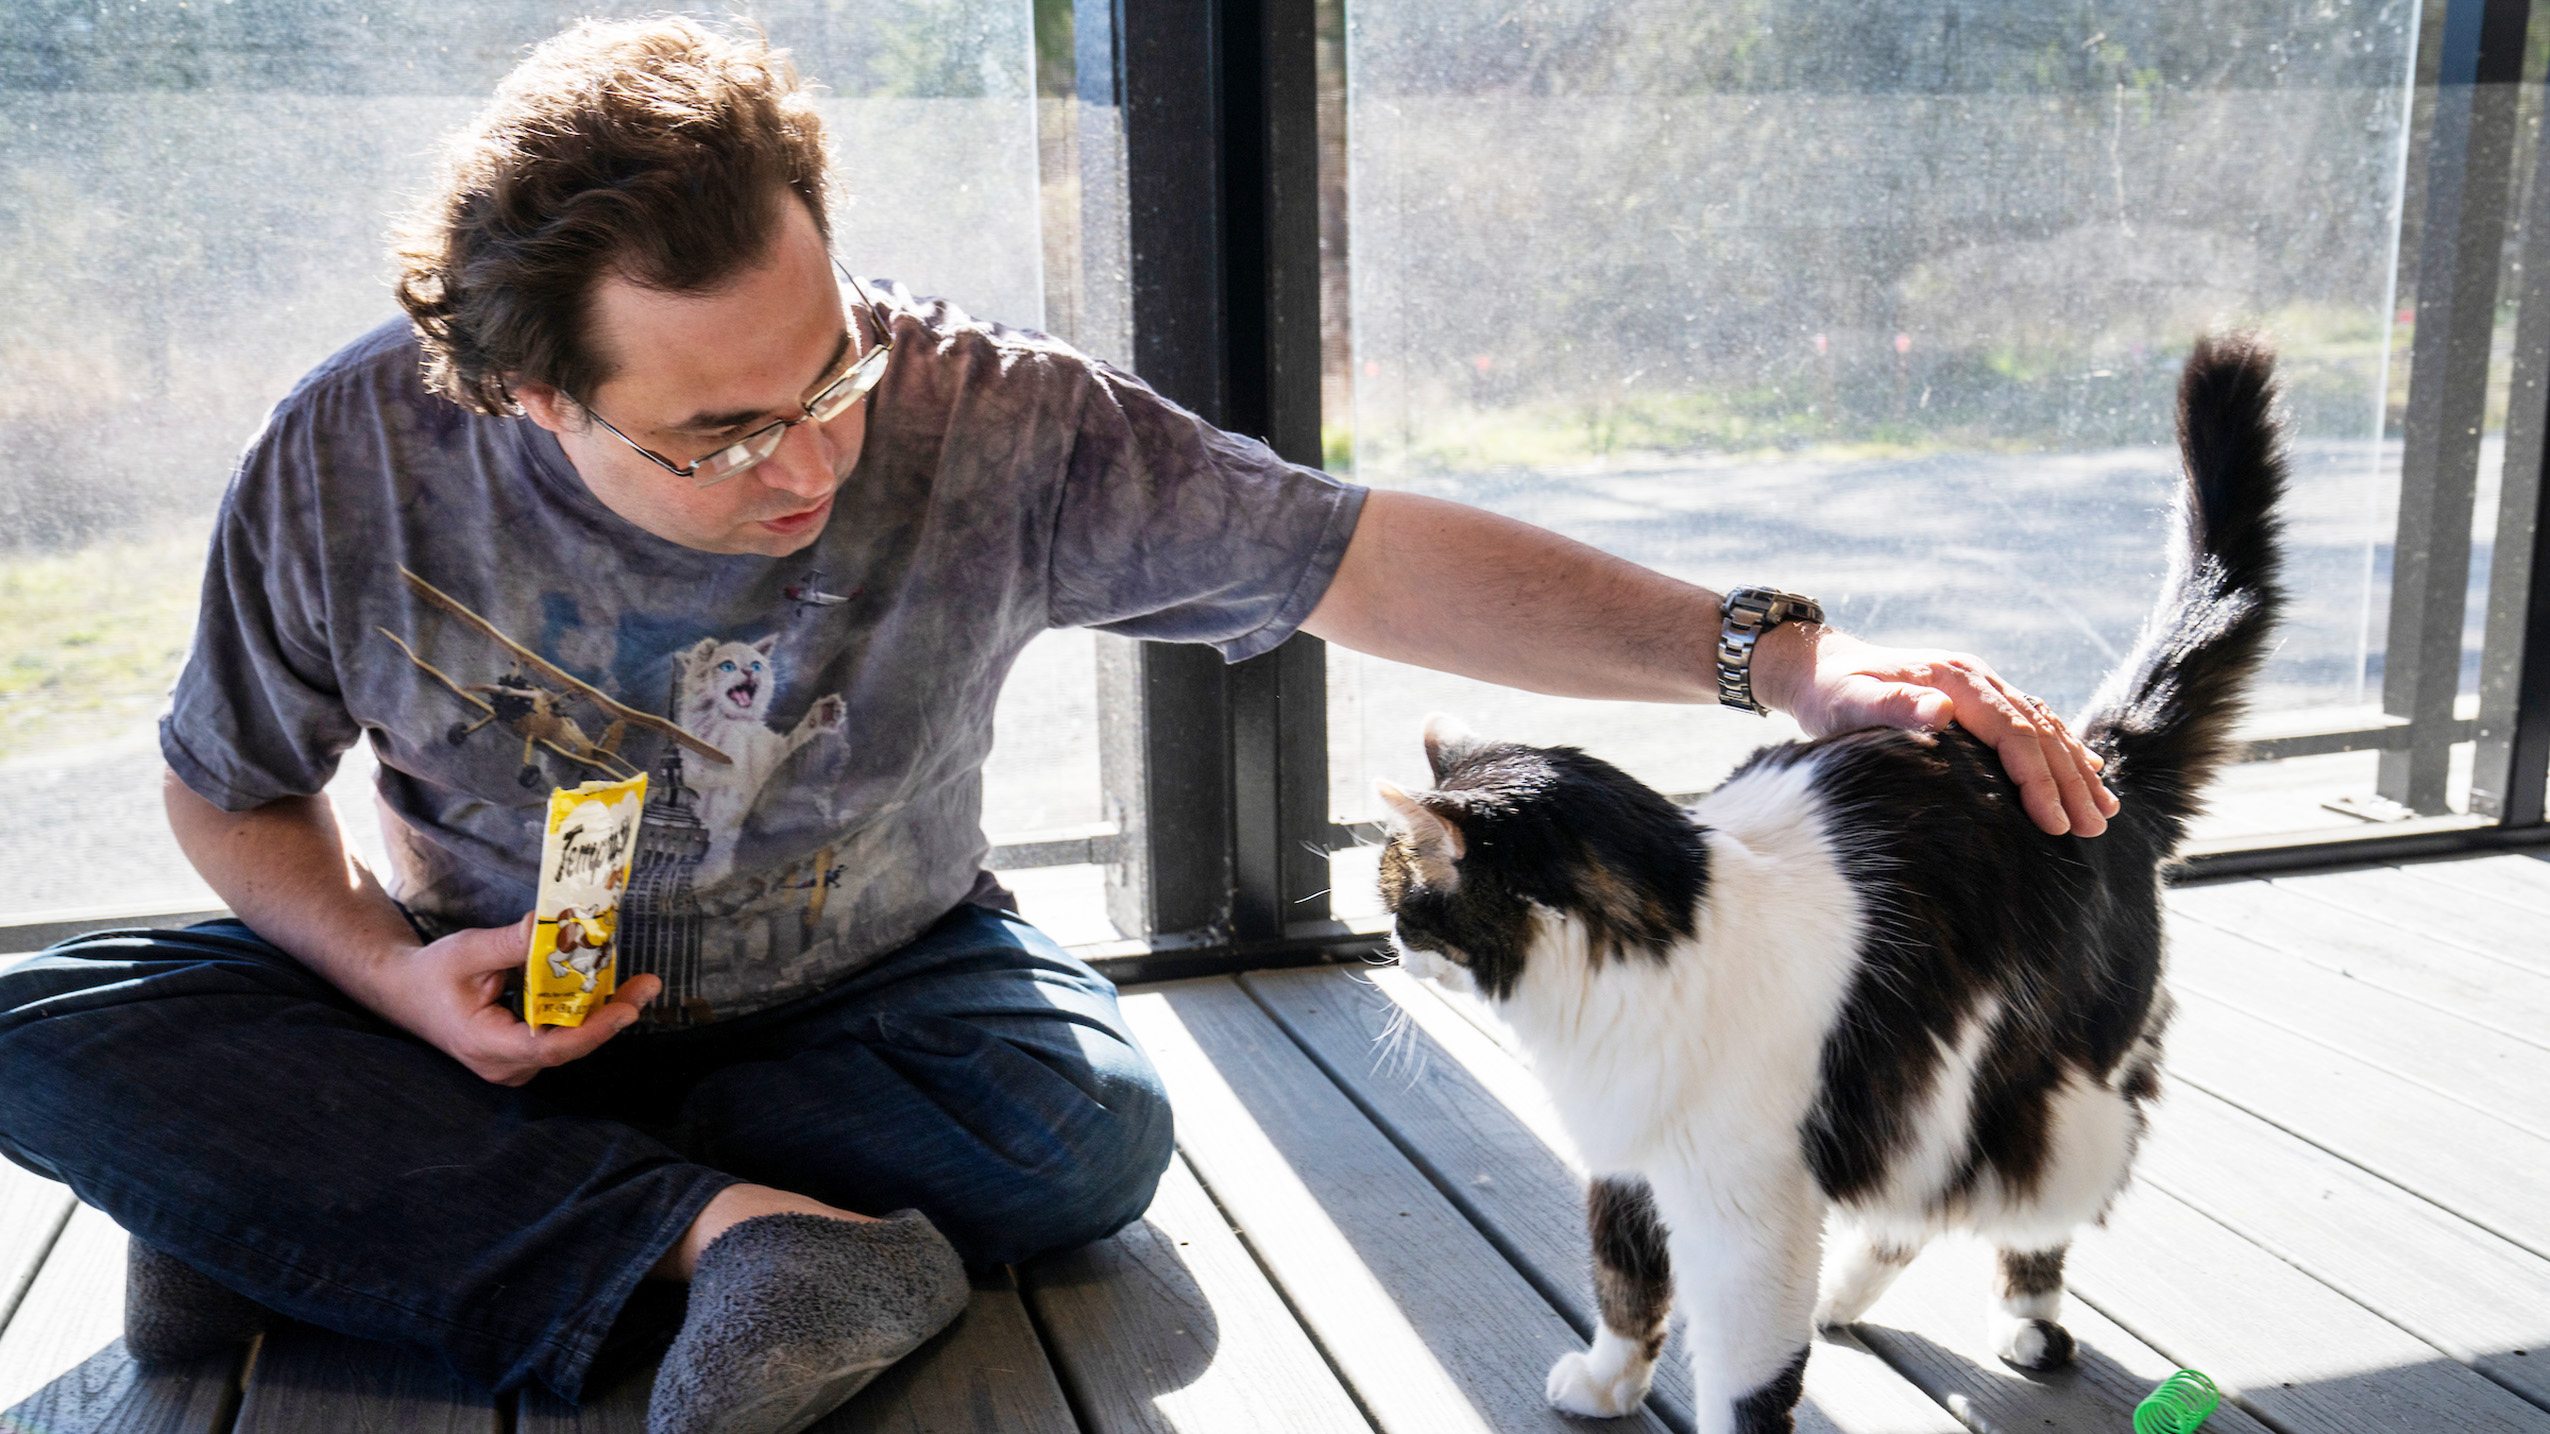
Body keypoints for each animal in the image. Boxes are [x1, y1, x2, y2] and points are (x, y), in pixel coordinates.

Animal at [1387, 336, 2284, 1428]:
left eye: (1401, 898)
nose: (1389, 945)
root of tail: (2099, 767)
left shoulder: (1746, 1220)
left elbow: (1744, 1382)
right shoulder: (1627, 1160)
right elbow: (1623, 1282)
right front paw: (1606, 1381)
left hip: (2059, 1108)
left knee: (2017, 1211)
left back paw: (2025, 1321)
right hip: (1938, 1100)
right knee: (1917, 1206)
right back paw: (1847, 1296)